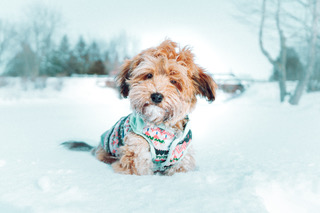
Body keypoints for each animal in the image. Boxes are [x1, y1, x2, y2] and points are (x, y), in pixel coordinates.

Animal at [62, 39, 218, 176]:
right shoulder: (136, 151)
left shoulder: (181, 155)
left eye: (174, 81)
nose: (156, 96)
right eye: (149, 75)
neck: (162, 128)